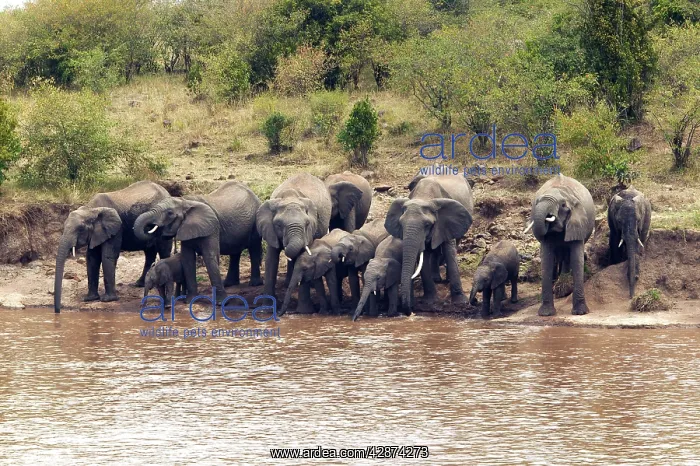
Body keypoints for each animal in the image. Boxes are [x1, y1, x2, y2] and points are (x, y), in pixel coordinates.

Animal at [54, 180, 173, 313]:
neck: (91, 209)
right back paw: (139, 284)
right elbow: (92, 258)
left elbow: (107, 257)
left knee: (163, 250)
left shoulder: (116, 228)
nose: (58, 311)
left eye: (80, 229)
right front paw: (90, 299)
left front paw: (107, 300)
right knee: (149, 252)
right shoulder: (97, 232)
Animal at [385, 173, 474, 310]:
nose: (409, 309)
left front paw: (461, 302)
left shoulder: (446, 221)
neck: (424, 197)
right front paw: (429, 302)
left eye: (427, 225)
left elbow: (449, 249)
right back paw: (436, 279)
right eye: (401, 224)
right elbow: (425, 255)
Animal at [523, 174, 595, 316]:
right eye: (536, 203)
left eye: (562, 205)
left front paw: (580, 313)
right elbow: (547, 260)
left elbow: (577, 259)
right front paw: (546, 314)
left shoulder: (577, 223)